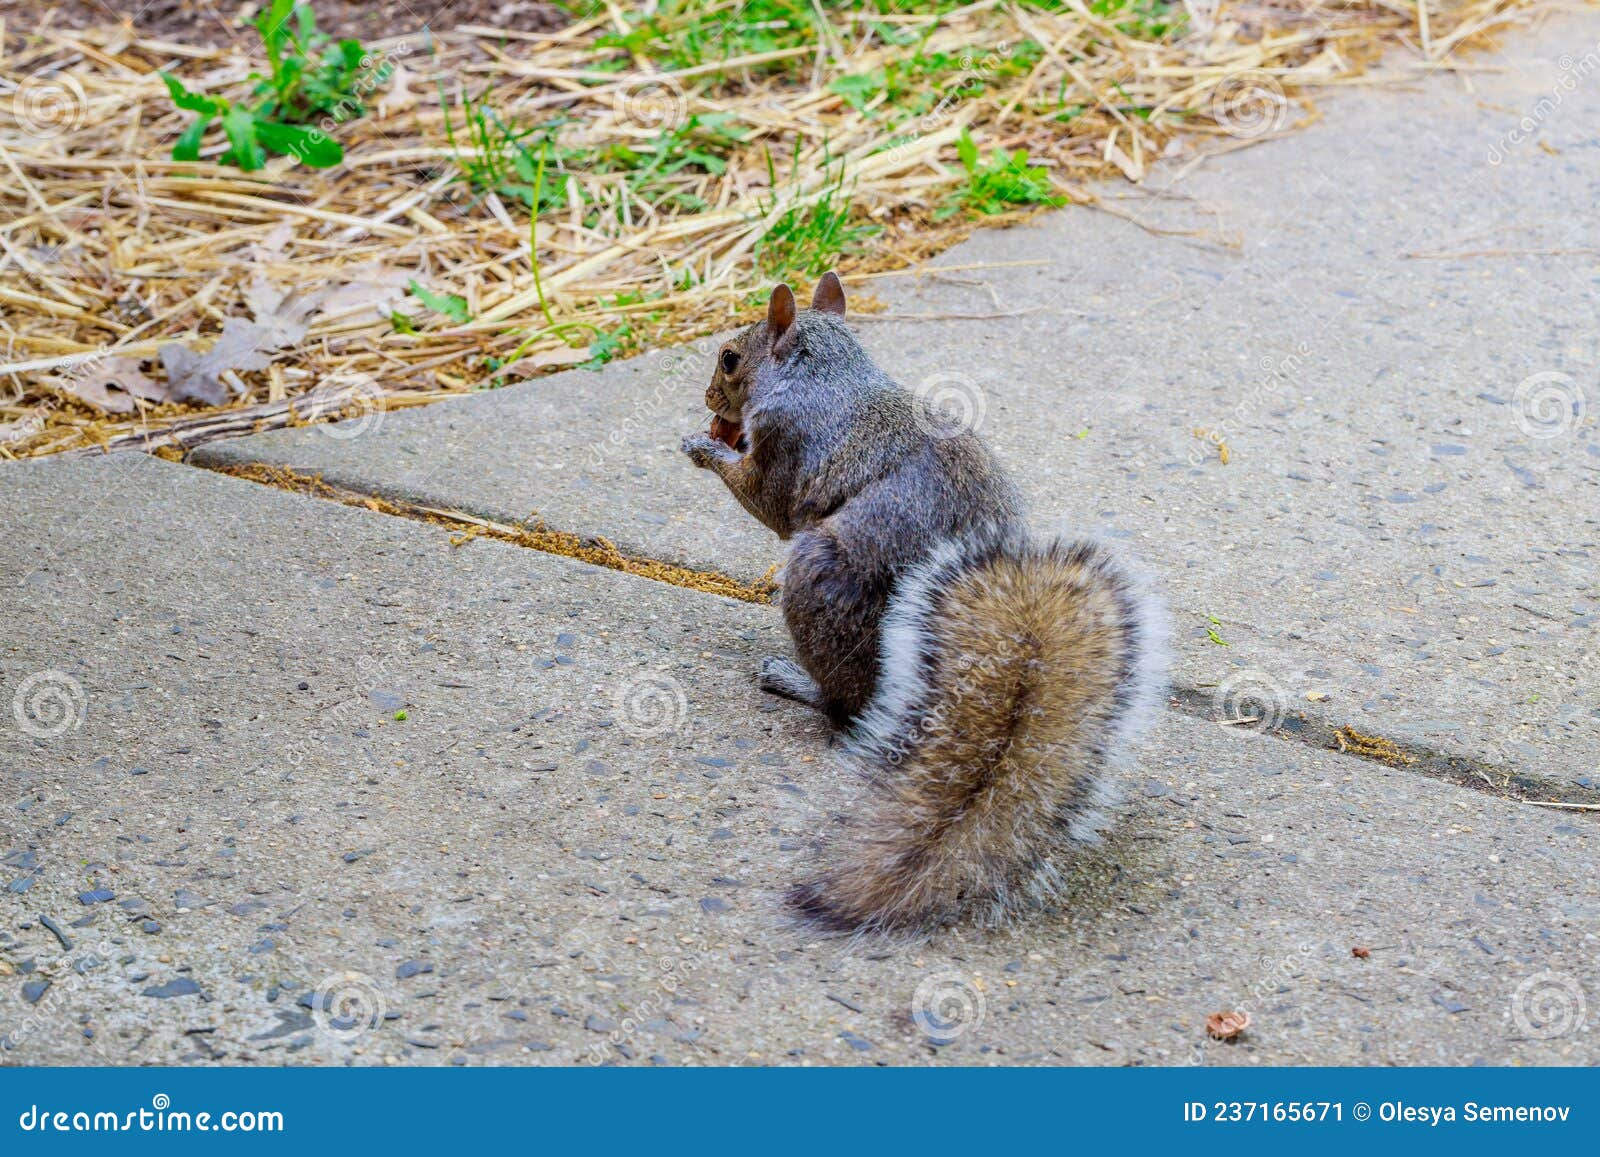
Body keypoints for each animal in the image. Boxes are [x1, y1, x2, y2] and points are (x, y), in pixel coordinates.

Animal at [680, 271, 1166, 933]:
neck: (825, 373)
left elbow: (768, 501)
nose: (709, 398)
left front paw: (704, 449)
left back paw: (795, 681)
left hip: (818, 580)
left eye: (730, 359)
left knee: (844, 707)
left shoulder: (785, 443)